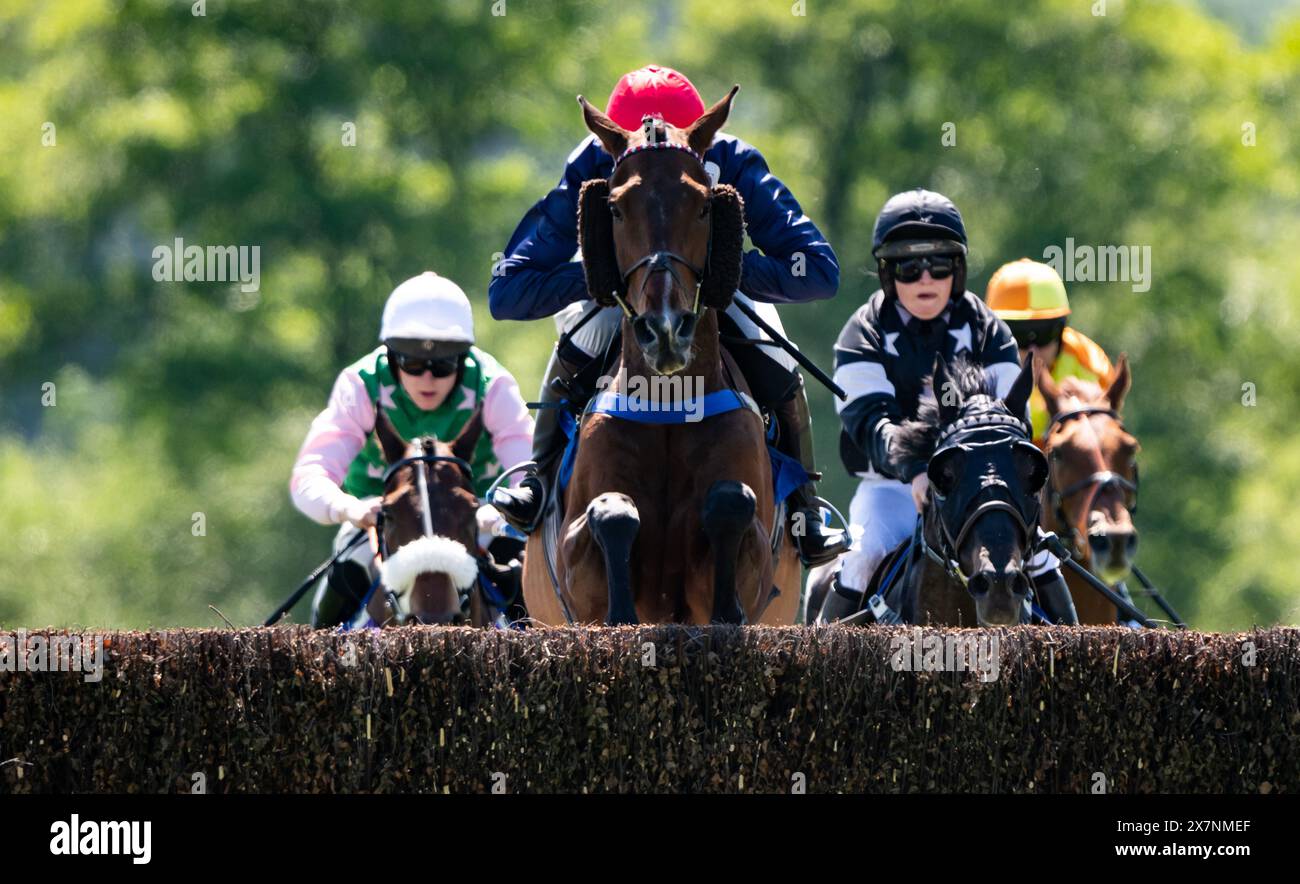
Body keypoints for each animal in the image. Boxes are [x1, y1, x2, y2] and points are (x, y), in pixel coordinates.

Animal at [520, 86, 800, 629]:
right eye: (615, 207)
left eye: (704, 206)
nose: (666, 330)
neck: (669, 400)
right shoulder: (572, 570)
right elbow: (612, 512)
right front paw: (622, 606)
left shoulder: (756, 562)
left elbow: (730, 503)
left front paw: (727, 605)